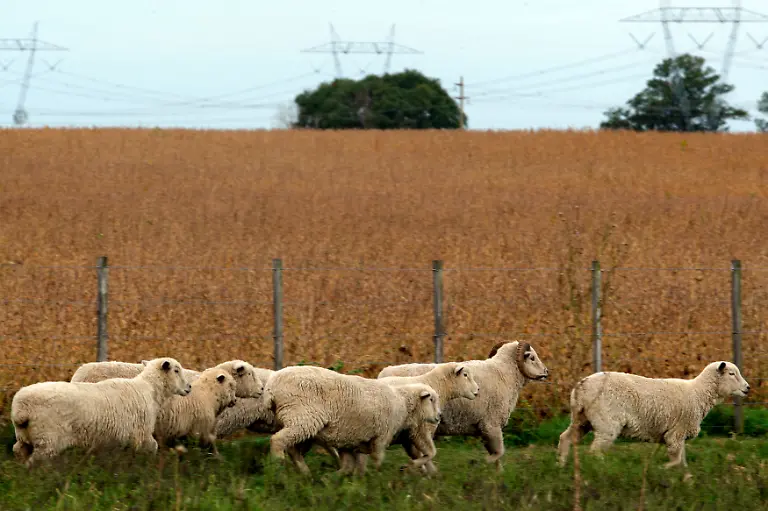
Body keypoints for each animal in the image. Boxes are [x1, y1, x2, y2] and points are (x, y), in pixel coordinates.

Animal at [11, 357, 191, 467]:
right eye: (176, 370)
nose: (189, 387)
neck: (150, 390)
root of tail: (21, 409)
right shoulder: (141, 433)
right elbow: (153, 447)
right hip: (47, 440)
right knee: (34, 463)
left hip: (26, 438)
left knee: (18, 451)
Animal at [264, 365, 442, 476]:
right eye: (432, 399)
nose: (439, 416)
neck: (402, 402)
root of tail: (271, 386)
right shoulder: (382, 435)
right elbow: (377, 459)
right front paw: (376, 478)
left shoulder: (351, 440)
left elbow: (351, 464)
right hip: (303, 418)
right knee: (278, 440)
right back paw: (278, 467)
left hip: (302, 422)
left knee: (293, 449)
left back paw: (305, 473)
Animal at [376, 341, 549, 472]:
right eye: (532, 357)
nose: (546, 372)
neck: (504, 373)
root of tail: (383, 374)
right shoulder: (491, 424)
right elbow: (499, 452)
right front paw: (482, 464)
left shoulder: (485, 429)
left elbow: (497, 454)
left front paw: (498, 474)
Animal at [557, 361, 750, 469]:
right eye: (732, 374)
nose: (747, 388)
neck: (698, 393)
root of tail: (580, 387)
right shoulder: (675, 433)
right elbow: (676, 461)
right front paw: (665, 469)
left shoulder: (679, 436)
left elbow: (682, 462)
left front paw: (685, 481)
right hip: (606, 424)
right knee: (595, 451)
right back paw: (600, 470)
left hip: (582, 419)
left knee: (565, 438)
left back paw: (561, 465)